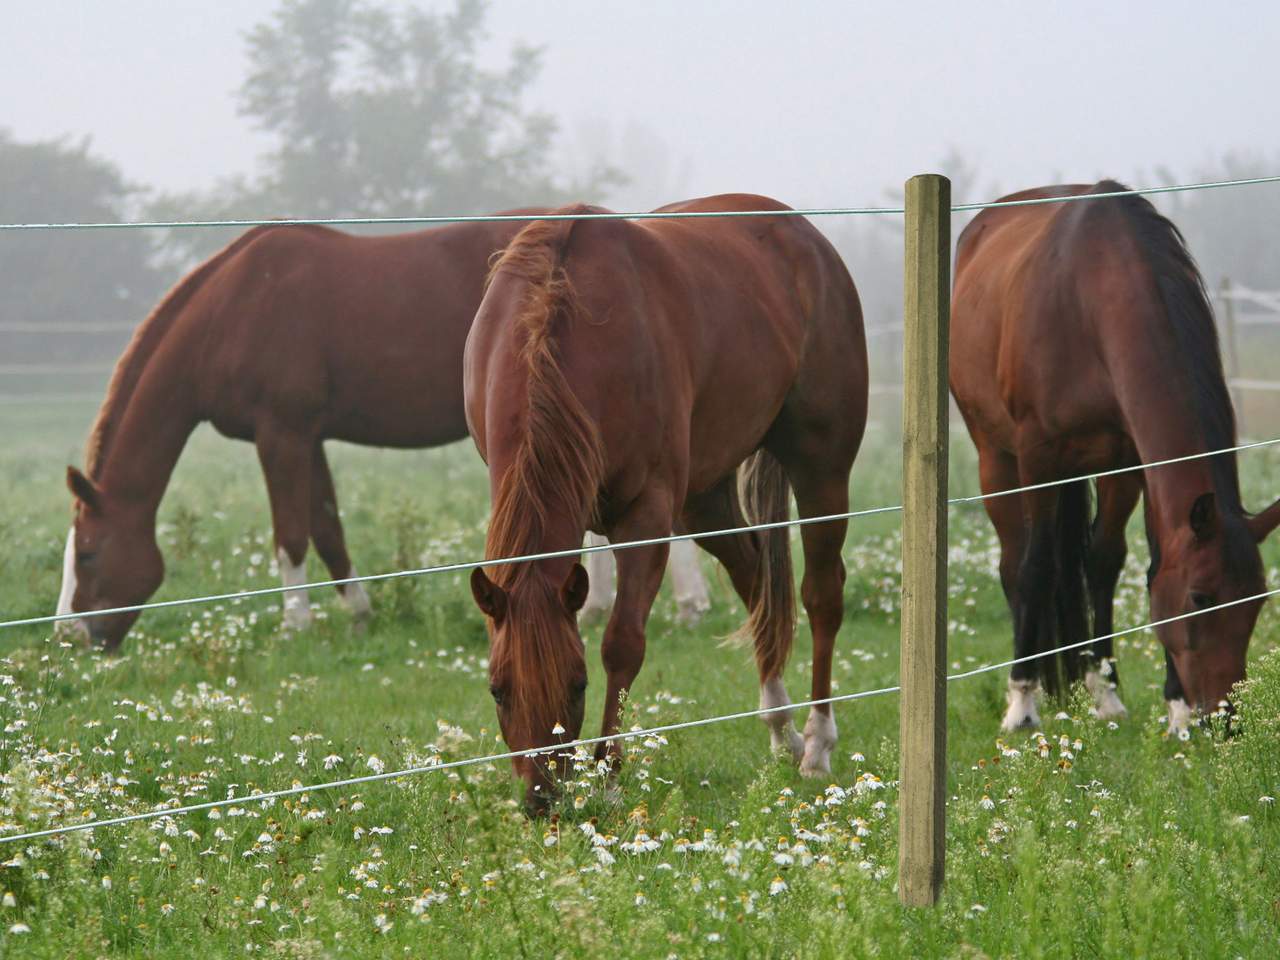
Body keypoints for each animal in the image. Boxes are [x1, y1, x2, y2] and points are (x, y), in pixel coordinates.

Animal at [60, 216, 709, 649]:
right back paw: (599, 604)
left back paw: (688, 605)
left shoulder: (281, 435)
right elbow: (327, 528)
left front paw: (296, 624)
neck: (234, 309)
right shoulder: (308, 438)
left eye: (88, 555)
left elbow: (291, 535)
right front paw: (359, 612)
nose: (72, 636)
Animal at [464, 194, 868, 811]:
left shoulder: (646, 518)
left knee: (821, 595)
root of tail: (808, 239)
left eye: (577, 685)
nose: (541, 799)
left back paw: (817, 745)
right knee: (755, 576)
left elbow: (622, 644)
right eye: (497, 690)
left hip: (821, 468)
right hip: (704, 497)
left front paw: (608, 776)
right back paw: (781, 731)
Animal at [950, 180, 1280, 735]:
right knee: (1016, 562)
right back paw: (1033, 689)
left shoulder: (1131, 461)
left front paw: (1156, 703)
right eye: (1200, 598)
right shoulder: (1038, 457)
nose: (1225, 719)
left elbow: (1123, 562)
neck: (1093, 298)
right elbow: (1037, 567)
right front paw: (1021, 702)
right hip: (996, 457)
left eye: (1256, 601)